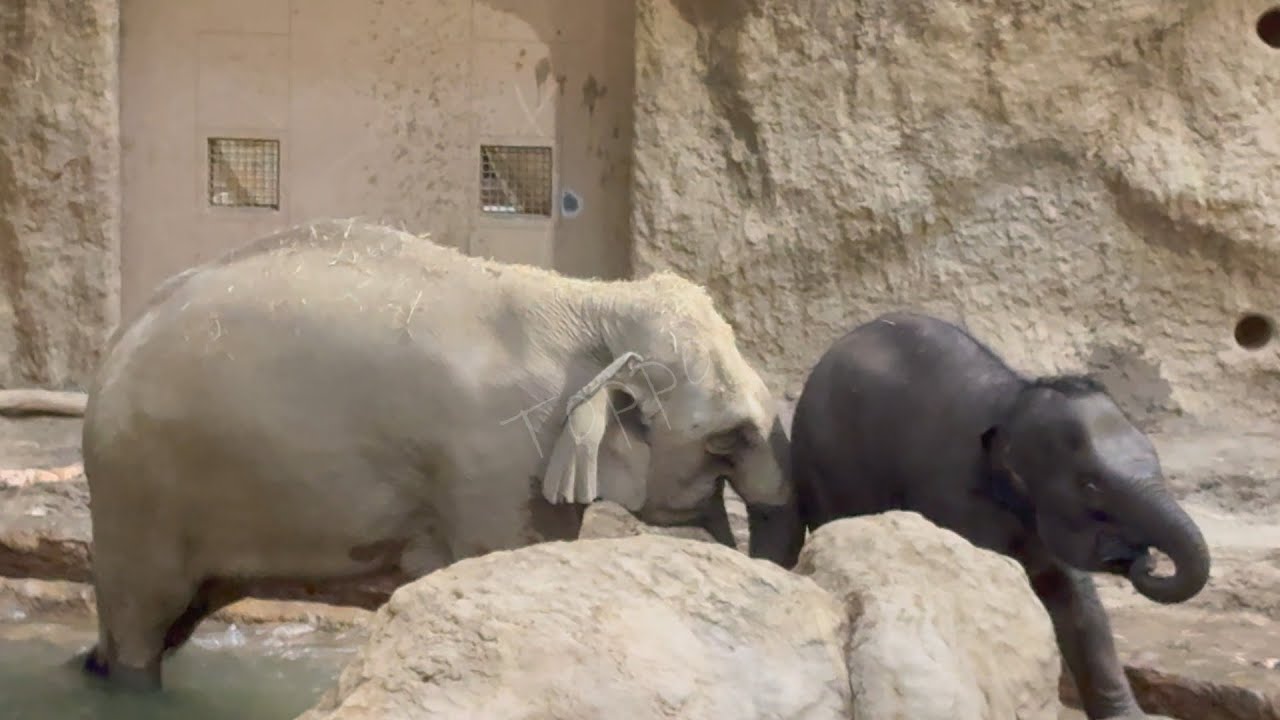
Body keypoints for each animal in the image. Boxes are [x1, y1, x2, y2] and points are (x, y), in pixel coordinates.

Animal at [76, 218, 802, 690]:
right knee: (143, 622)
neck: (590, 300)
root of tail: (114, 347)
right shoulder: (501, 464)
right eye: (731, 437)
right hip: (140, 490)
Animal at [788, 311, 1209, 720]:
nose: (1145, 562)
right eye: (1090, 485)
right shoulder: (955, 494)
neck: (1012, 400)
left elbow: (1080, 604)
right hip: (824, 469)